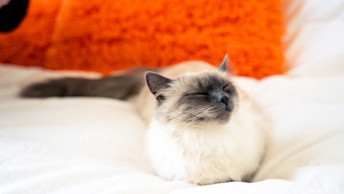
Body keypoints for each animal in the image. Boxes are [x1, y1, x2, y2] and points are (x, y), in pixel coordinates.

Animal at [20, 55, 268, 185]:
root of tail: (166, 66)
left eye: (225, 88)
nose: (224, 99)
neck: (208, 136)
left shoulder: (245, 175)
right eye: (200, 94)